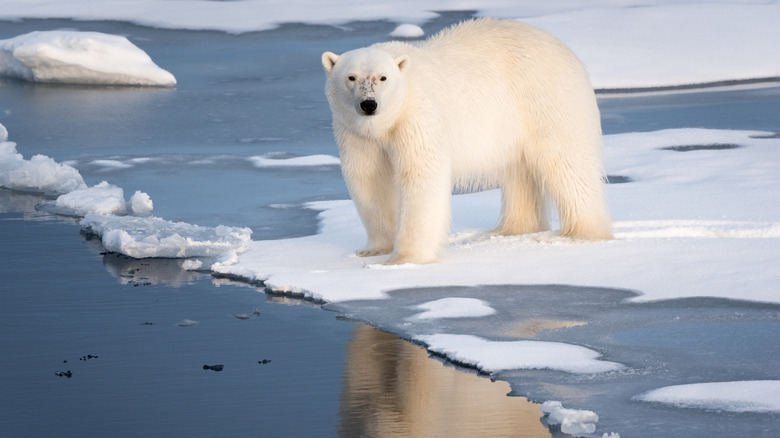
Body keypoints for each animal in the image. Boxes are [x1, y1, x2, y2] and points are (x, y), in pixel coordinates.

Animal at [320, 18, 612, 264]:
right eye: (351, 77)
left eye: (383, 77)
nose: (369, 104)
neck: (385, 123)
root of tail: (565, 50)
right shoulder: (355, 132)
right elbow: (369, 180)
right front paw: (374, 249)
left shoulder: (417, 117)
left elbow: (421, 177)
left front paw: (405, 259)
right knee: (520, 172)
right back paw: (507, 230)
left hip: (546, 100)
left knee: (567, 165)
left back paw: (579, 234)